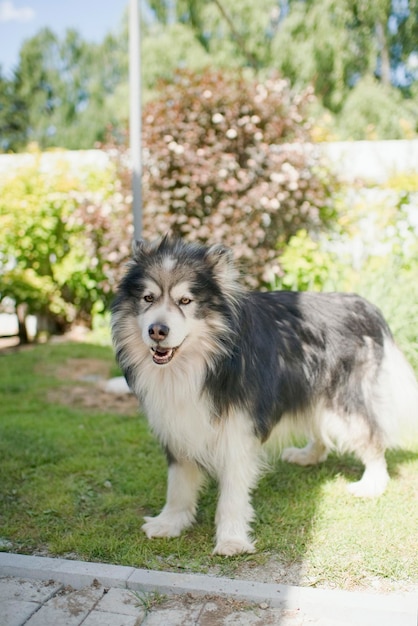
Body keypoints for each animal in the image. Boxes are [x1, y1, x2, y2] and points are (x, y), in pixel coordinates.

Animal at [111, 236, 418, 552]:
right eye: (148, 298)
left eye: (185, 301)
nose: (157, 330)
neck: (206, 361)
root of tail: (364, 304)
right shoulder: (178, 422)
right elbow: (179, 483)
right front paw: (170, 522)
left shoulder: (238, 428)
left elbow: (232, 492)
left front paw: (232, 539)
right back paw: (309, 455)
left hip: (343, 396)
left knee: (369, 434)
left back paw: (372, 483)